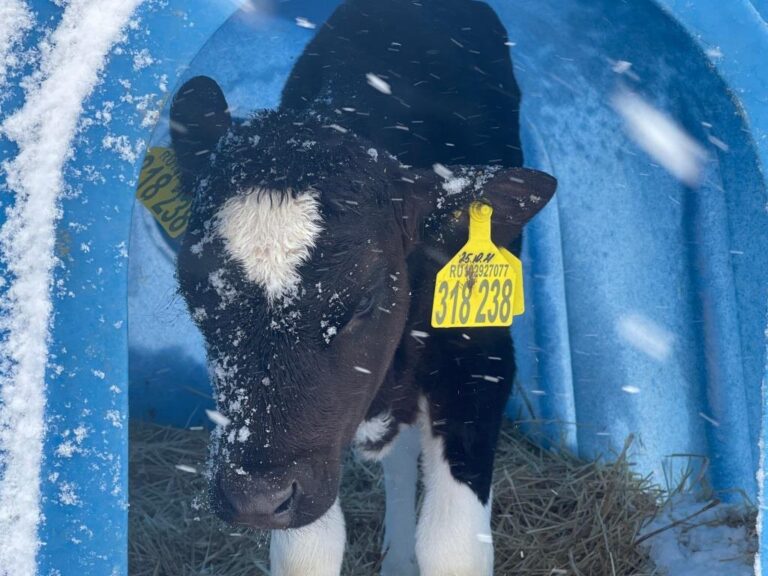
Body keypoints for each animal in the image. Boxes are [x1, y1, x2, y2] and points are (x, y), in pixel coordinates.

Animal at [170, 1, 556, 575]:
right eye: (197, 294)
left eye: (364, 299)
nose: (256, 497)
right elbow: (307, 549)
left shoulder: (481, 356)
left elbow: (451, 542)